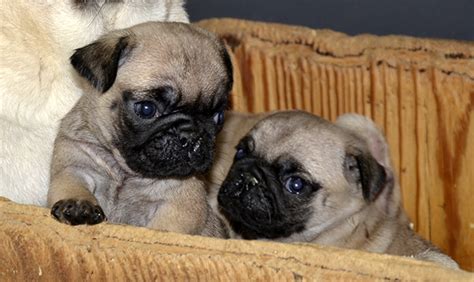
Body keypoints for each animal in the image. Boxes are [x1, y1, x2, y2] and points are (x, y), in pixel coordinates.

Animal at [47, 22, 232, 238]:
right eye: (147, 109)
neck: (126, 173)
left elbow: (164, 229)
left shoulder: (179, 204)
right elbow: (71, 182)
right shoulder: (76, 166)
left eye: (218, 116)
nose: (191, 135)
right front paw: (78, 204)